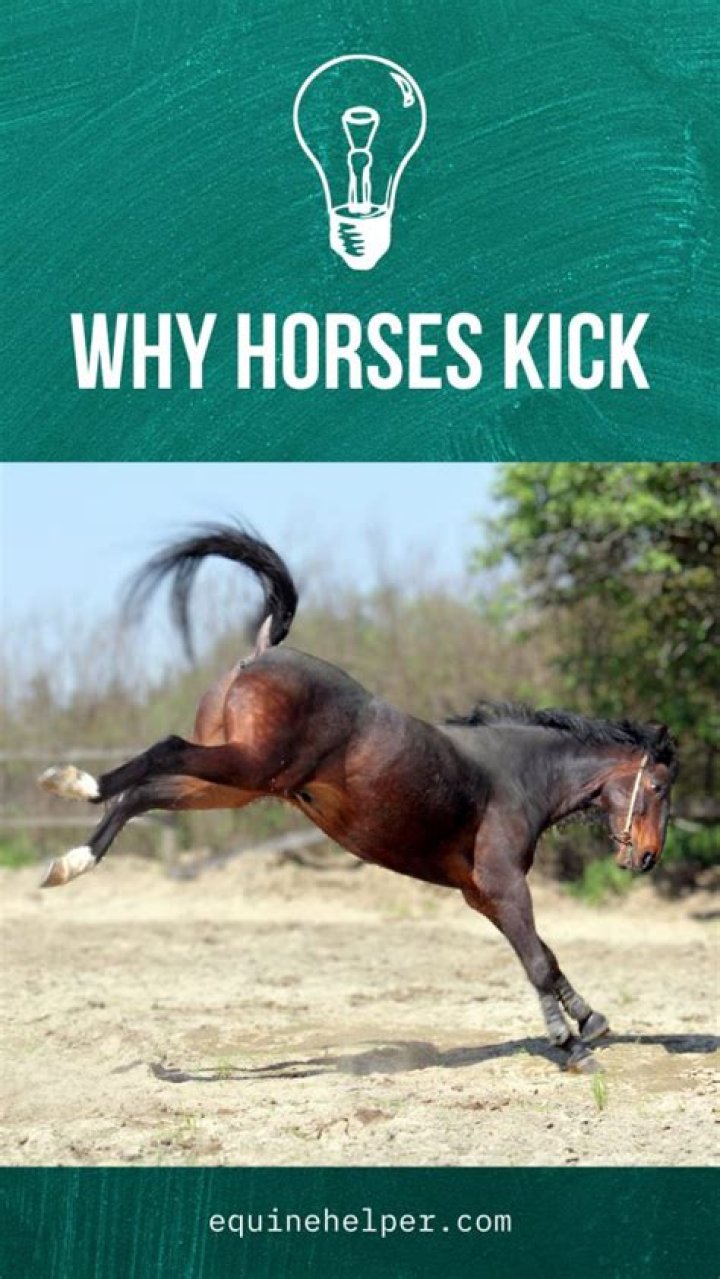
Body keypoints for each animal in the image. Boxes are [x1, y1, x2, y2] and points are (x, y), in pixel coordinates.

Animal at [39, 524, 679, 1070]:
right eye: (659, 787)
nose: (647, 857)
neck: (516, 774)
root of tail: (262, 652)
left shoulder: (481, 894)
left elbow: (541, 954)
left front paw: (589, 1021)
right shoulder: (502, 884)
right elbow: (538, 958)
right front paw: (572, 1046)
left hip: (230, 783)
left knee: (140, 795)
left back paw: (69, 863)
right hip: (243, 766)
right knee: (156, 756)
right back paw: (72, 785)